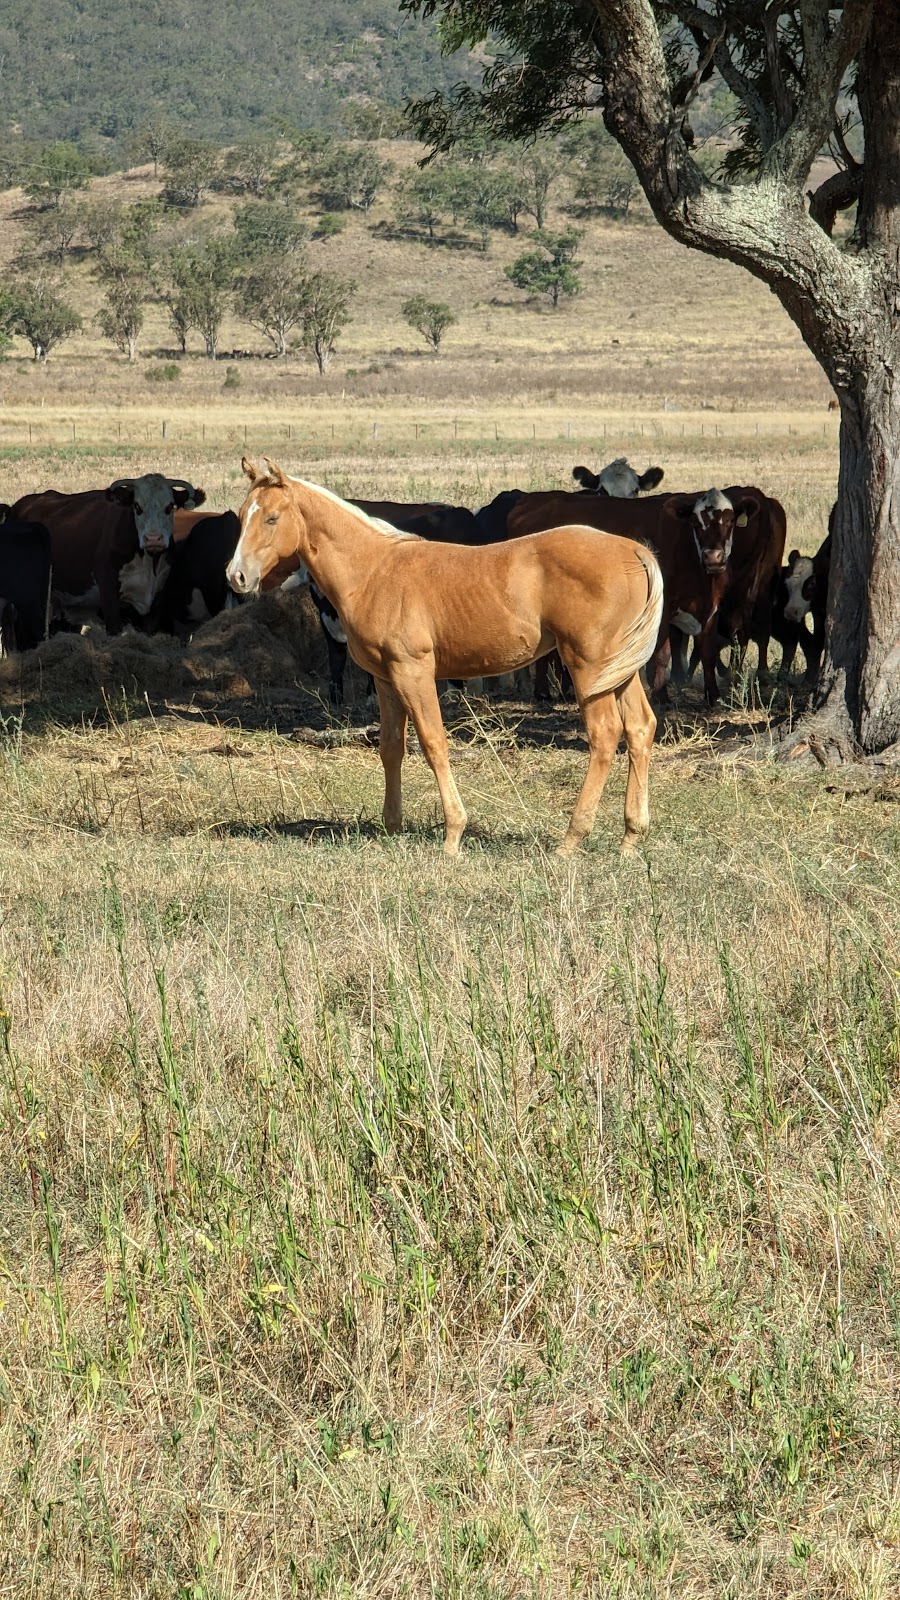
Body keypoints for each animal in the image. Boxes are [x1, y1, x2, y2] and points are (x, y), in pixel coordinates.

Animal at [227, 458, 664, 858]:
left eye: (271, 518)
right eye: (241, 515)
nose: (237, 577)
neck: (374, 571)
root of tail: (633, 549)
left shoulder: (413, 672)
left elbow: (433, 743)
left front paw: (453, 835)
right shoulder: (385, 678)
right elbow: (390, 747)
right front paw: (391, 828)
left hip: (589, 668)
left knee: (605, 734)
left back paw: (571, 839)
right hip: (619, 671)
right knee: (640, 728)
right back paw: (631, 837)